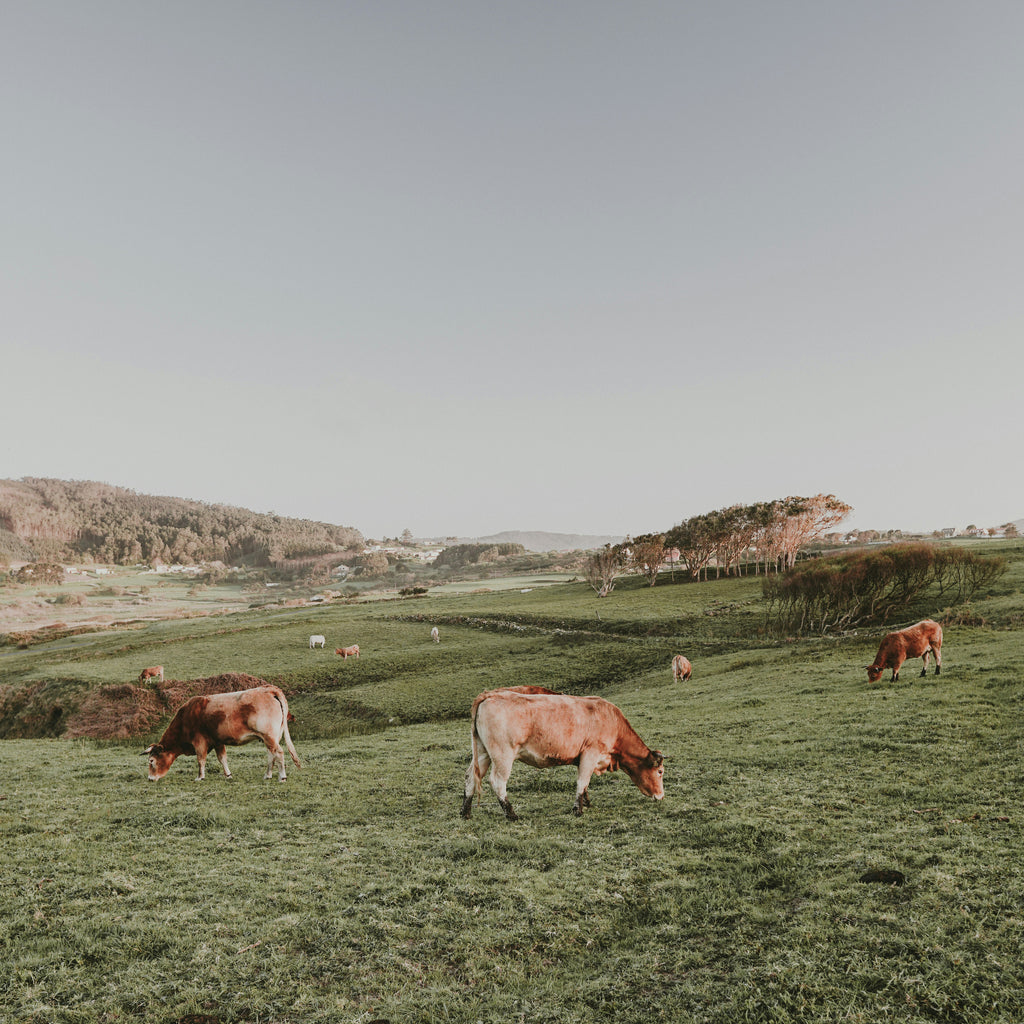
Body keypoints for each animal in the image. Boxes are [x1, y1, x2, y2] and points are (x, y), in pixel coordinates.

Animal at [144, 684, 303, 778]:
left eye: (152, 761)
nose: (150, 778)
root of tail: (269, 689)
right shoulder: (217, 742)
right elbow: (222, 759)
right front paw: (228, 775)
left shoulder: (199, 742)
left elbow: (201, 760)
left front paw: (200, 777)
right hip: (270, 738)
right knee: (271, 755)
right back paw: (267, 775)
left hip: (269, 736)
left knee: (279, 753)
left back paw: (282, 776)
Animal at [462, 688, 663, 823]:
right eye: (660, 771)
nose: (661, 796)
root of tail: (490, 695)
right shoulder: (591, 753)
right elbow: (582, 781)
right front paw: (578, 810)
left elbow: (585, 783)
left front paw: (586, 803)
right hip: (503, 755)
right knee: (497, 781)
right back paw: (512, 814)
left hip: (482, 752)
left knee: (471, 776)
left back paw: (465, 812)